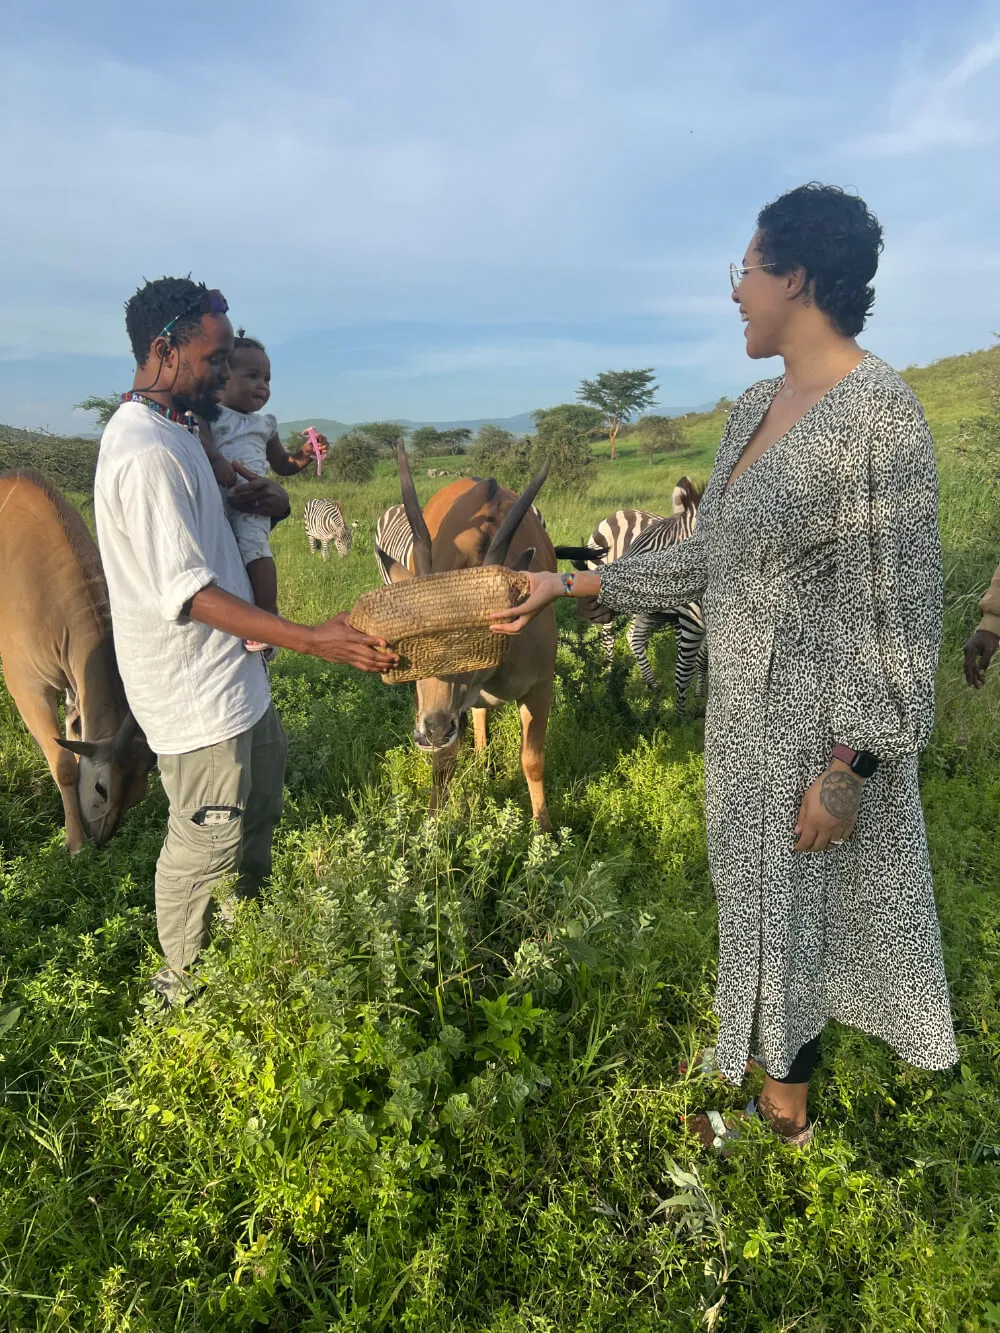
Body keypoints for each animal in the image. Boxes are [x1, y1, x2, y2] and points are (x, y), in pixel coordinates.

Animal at [0, 471, 154, 853]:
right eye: (101, 788)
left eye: (136, 796)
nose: (100, 839)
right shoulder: (29, 689)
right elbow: (65, 766)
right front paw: (75, 843)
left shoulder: (74, 687)